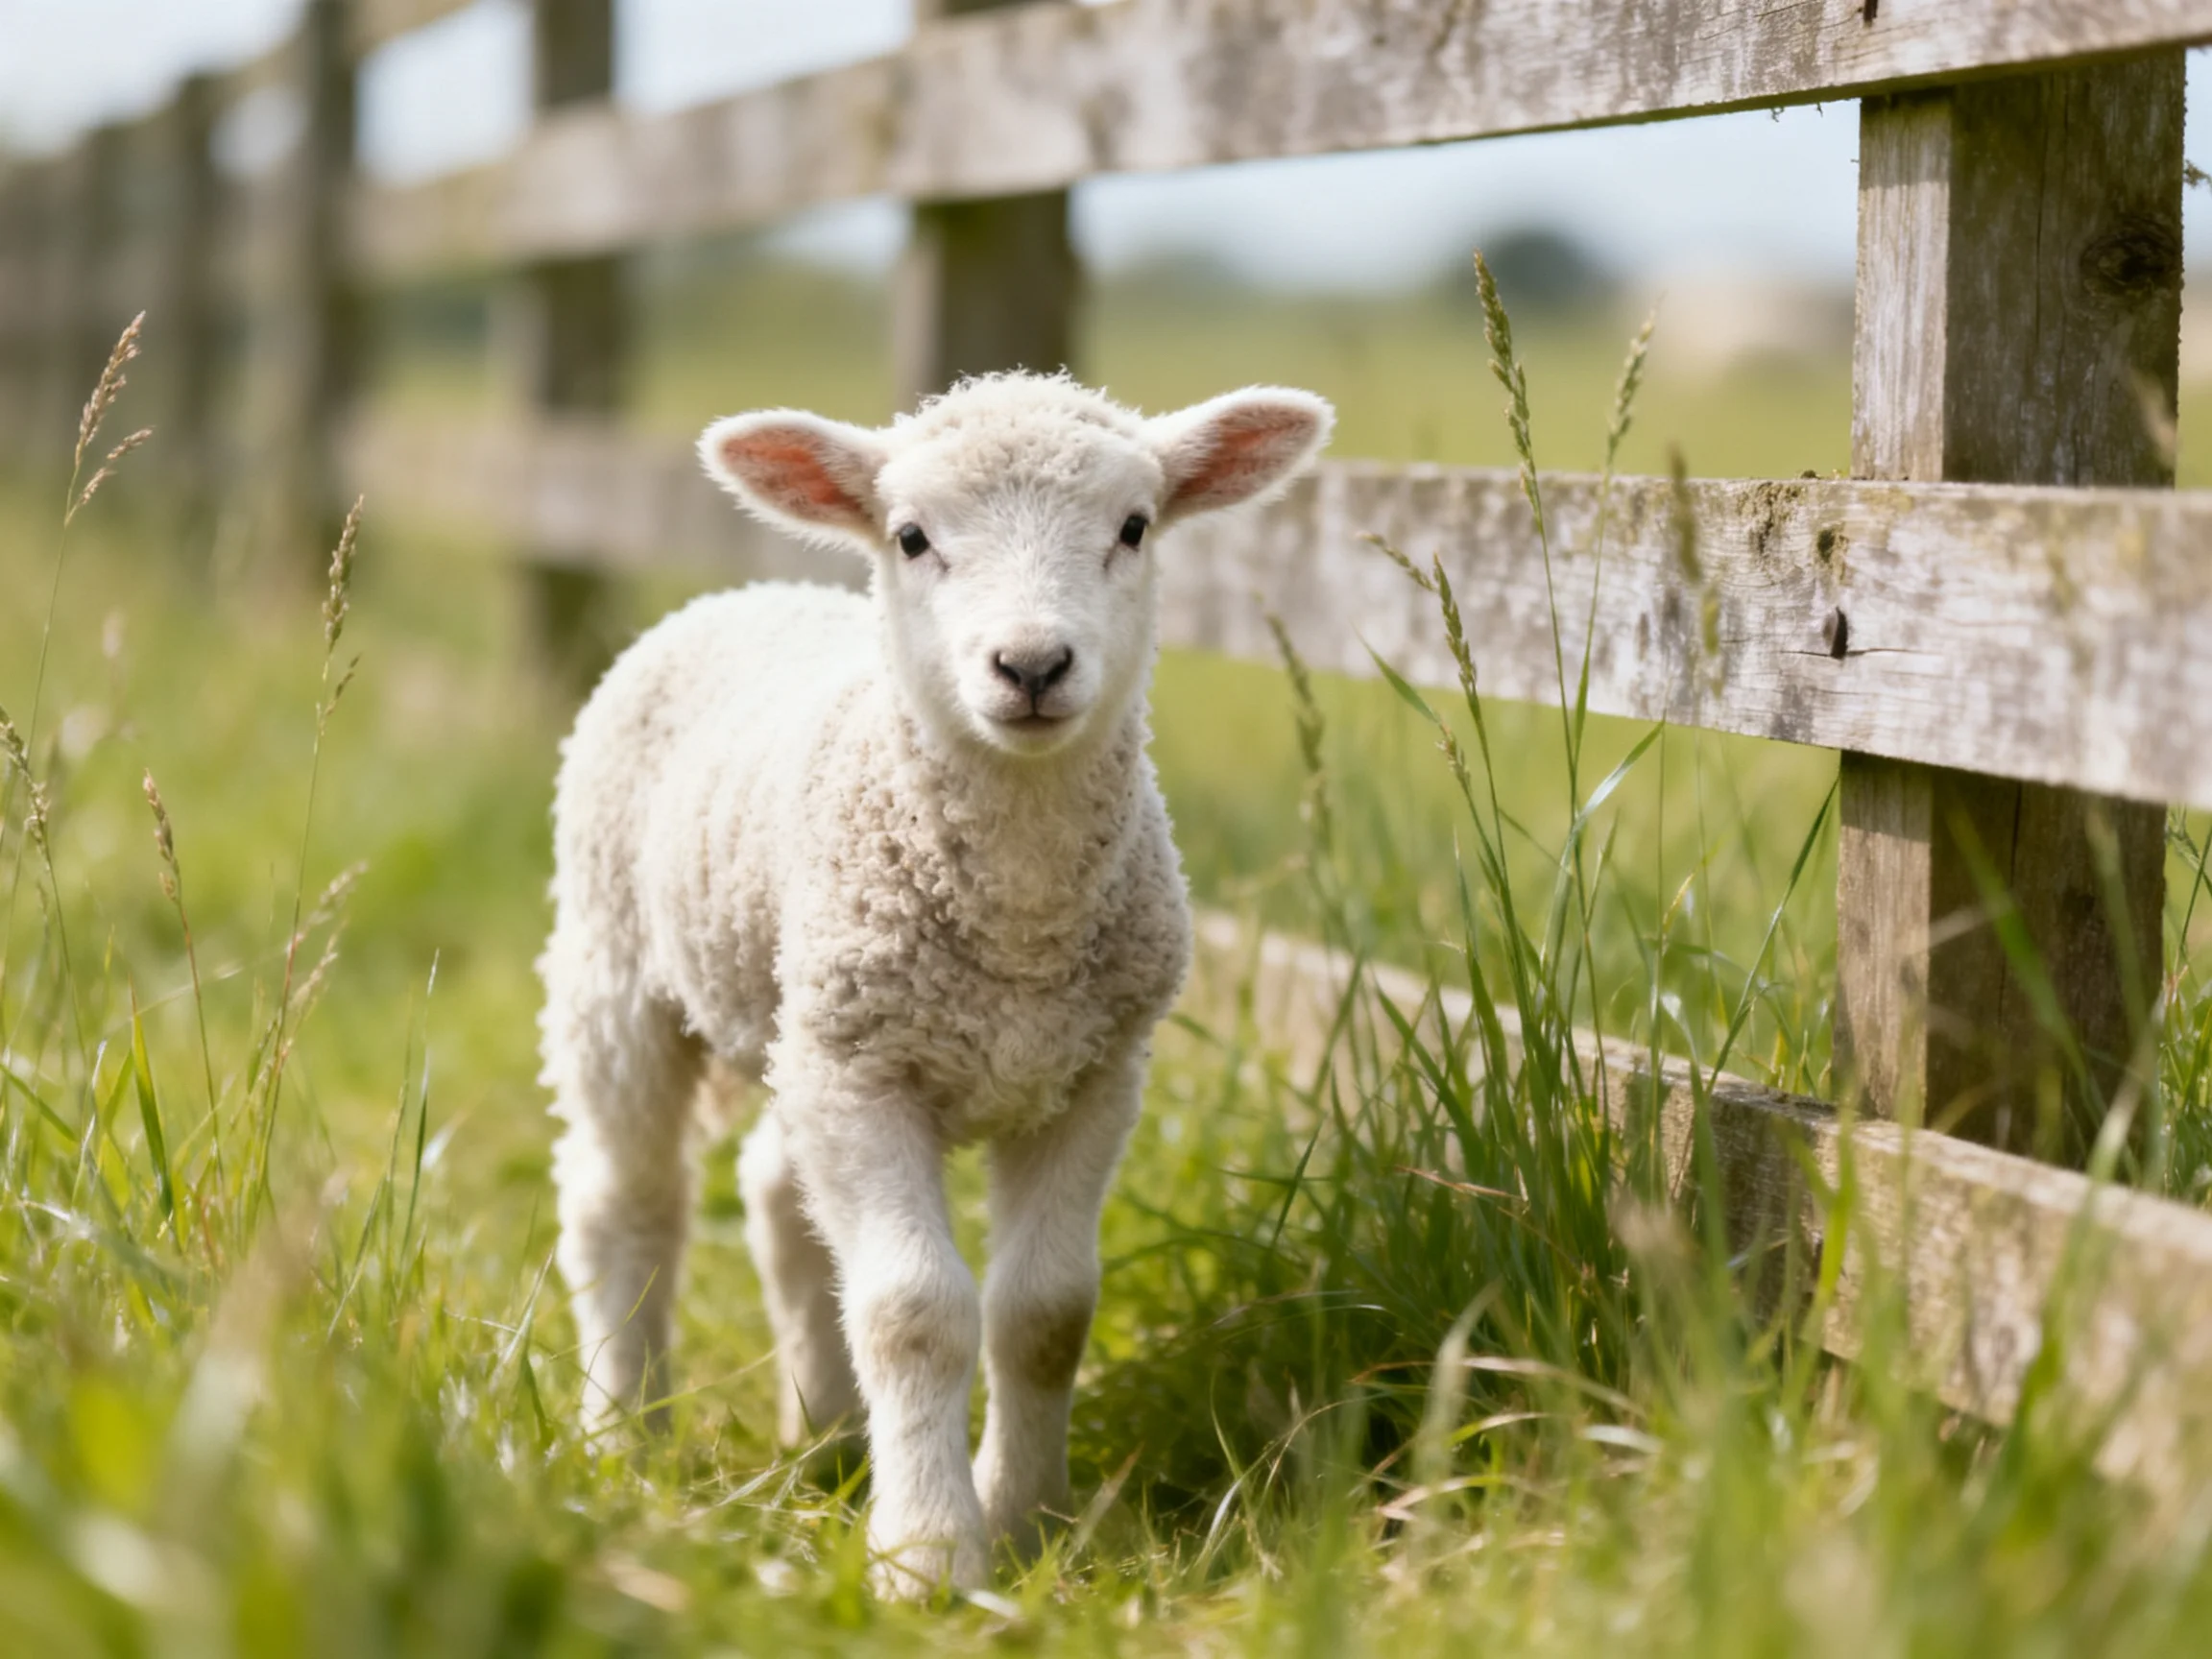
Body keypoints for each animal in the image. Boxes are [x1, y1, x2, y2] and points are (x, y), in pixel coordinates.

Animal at [538, 370, 1333, 1596]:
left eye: (1134, 527)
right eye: (912, 538)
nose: (1033, 667)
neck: (1018, 932)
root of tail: (754, 588)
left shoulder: (1093, 1074)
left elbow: (1045, 1313)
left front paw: (1031, 1524)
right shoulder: (867, 1074)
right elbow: (915, 1311)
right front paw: (927, 1559)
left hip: (800, 1021)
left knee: (775, 1191)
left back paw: (824, 1434)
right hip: (618, 972)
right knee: (624, 1203)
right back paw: (625, 1434)